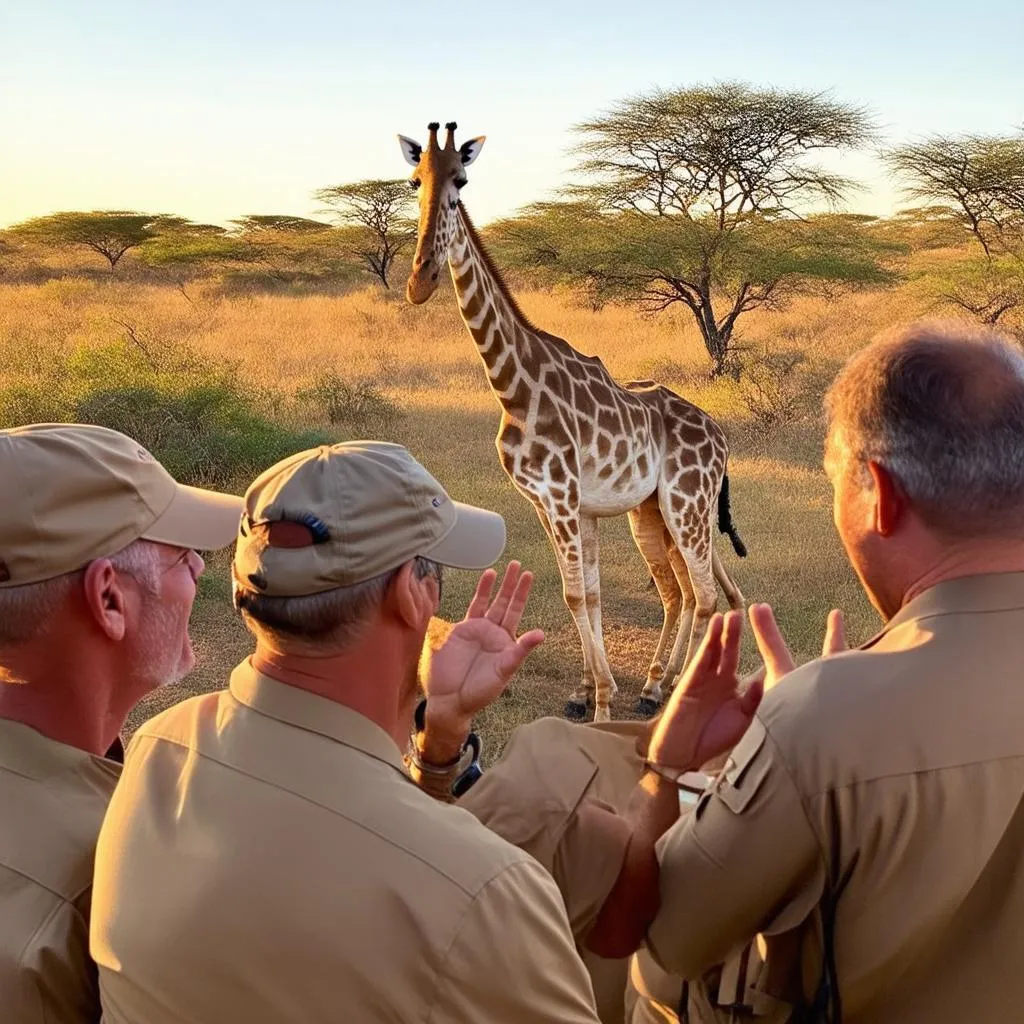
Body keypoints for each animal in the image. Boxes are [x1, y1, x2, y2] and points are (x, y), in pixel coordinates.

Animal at [397, 123, 745, 724]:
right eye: (414, 181)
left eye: (460, 183)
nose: (421, 281)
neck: (512, 388)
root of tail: (721, 437)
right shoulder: (554, 503)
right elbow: (585, 593)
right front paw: (586, 693)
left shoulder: (562, 497)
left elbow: (578, 595)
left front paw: (602, 701)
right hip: (656, 511)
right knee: (682, 590)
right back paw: (655, 686)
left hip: (687, 502)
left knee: (703, 594)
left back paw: (678, 690)